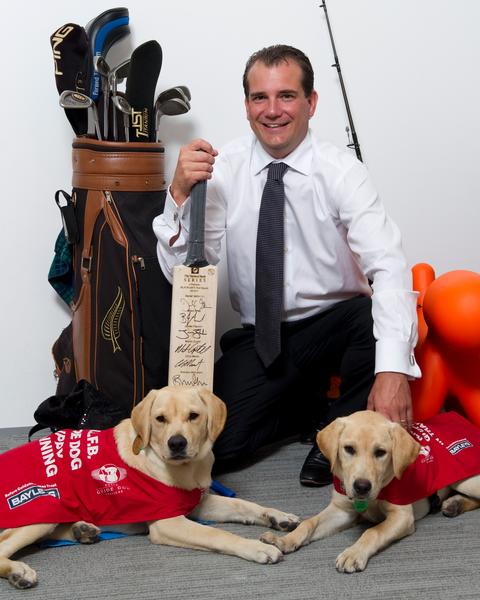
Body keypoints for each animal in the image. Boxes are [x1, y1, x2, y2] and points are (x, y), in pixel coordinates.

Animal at [0, 386, 300, 588]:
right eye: (160, 419)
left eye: (194, 416)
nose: (177, 444)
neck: (186, 469)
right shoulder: (168, 522)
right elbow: (218, 534)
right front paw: (257, 548)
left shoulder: (198, 502)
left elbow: (244, 505)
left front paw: (278, 516)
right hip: (43, 504)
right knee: (5, 545)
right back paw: (18, 572)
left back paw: (82, 530)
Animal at [260, 412, 480, 572]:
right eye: (349, 449)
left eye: (380, 452)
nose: (362, 487)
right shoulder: (342, 511)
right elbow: (309, 523)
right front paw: (285, 540)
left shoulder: (402, 516)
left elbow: (372, 531)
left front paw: (353, 553)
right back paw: (454, 504)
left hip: (466, 481)